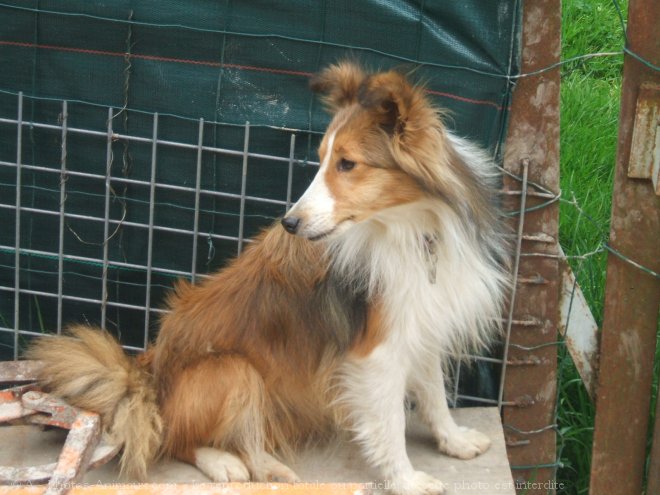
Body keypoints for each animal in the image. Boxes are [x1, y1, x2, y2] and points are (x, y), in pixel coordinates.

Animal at [27, 62, 510, 495]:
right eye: (322, 161)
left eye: (348, 164)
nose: (290, 224)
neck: (411, 228)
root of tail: (145, 376)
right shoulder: (375, 351)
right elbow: (389, 423)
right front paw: (406, 480)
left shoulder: (421, 319)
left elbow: (434, 394)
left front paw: (453, 440)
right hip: (234, 372)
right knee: (172, 437)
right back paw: (228, 463)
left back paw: (266, 464)